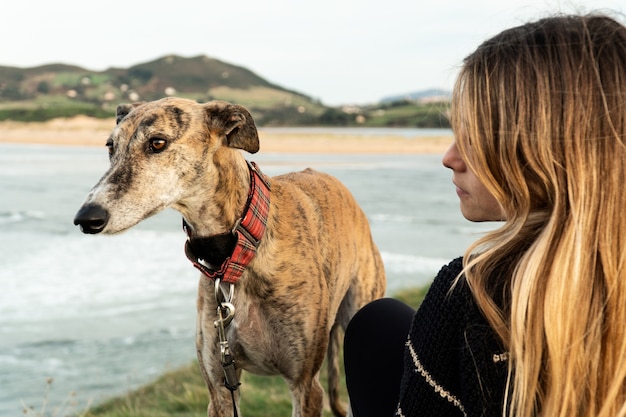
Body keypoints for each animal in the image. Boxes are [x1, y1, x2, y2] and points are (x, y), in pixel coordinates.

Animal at [73, 96, 386, 414]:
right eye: (110, 146)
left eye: (157, 143)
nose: (86, 219)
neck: (239, 251)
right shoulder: (220, 385)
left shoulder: (306, 386)